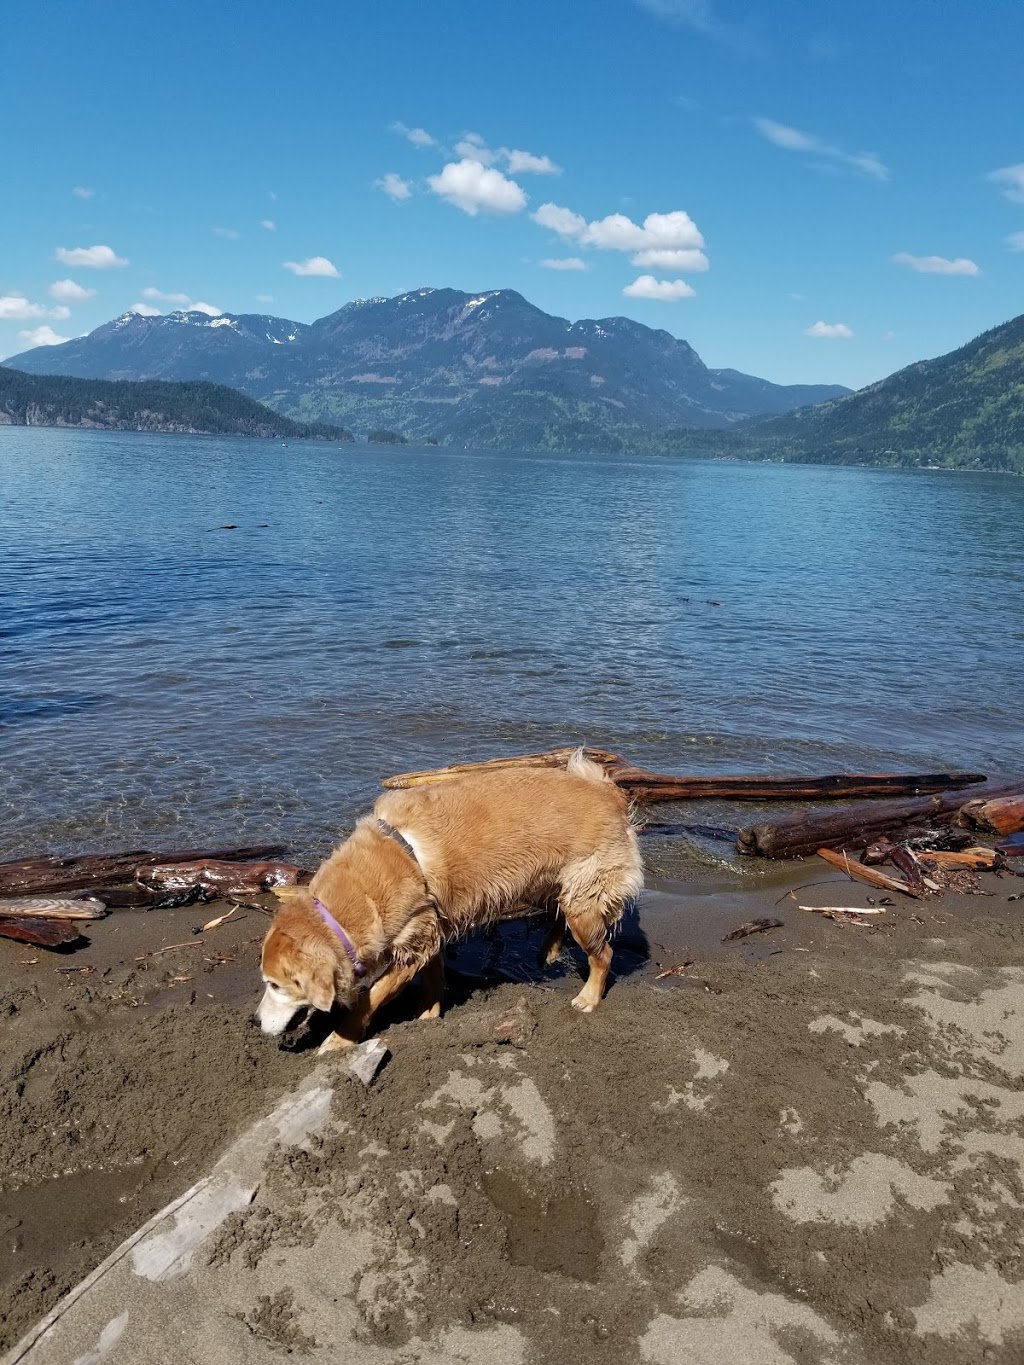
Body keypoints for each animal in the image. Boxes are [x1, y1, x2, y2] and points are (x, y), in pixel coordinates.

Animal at [256, 753, 644, 1048]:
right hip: (558, 886)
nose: (254, 1020)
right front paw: (429, 1016)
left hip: (585, 898)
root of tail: (609, 793)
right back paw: (549, 949)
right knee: (558, 915)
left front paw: (339, 1040)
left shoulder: (412, 940)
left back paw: (589, 997)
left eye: (275, 985)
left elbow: (372, 996)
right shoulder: (428, 931)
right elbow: (433, 978)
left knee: (604, 954)